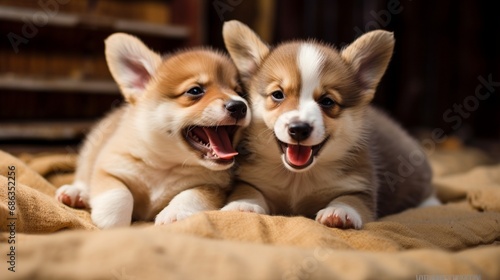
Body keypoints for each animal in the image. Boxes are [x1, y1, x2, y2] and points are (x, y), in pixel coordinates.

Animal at [55, 33, 250, 230]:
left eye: (239, 92)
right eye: (195, 90)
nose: (239, 106)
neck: (166, 165)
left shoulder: (214, 186)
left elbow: (191, 195)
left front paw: (173, 215)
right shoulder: (108, 169)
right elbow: (119, 197)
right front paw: (113, 225)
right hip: (90, 154)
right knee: (83, 176)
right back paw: (75, 193)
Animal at [221, 20, 436, 229]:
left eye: (327, 101)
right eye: (278, 94)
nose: (299, 129)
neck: (298, 178)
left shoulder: (361, 186)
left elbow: (350, 200)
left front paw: (340, 212)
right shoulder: (251, 179)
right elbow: (248, 191)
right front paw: (243, 205)